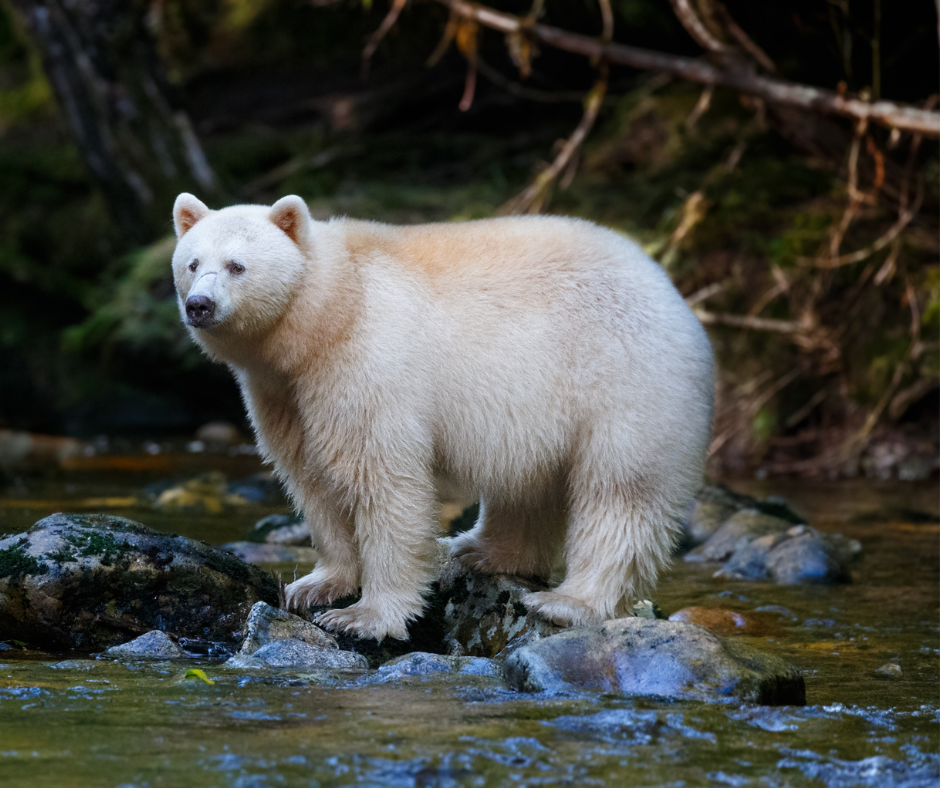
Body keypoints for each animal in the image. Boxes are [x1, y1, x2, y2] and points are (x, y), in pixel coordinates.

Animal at [171, 194, 712, 644]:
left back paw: (567, 601)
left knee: (621, 490)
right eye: (192, 263)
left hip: (622, 380)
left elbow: (382, 480)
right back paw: (478, 550)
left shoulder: (364, 365)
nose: (199, 304)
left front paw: (365, 616)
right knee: (529, 486)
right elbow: (313, 479)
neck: (328, 311)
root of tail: (669, 289)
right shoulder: (284, 394)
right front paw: (316, 585)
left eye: (237, 265)